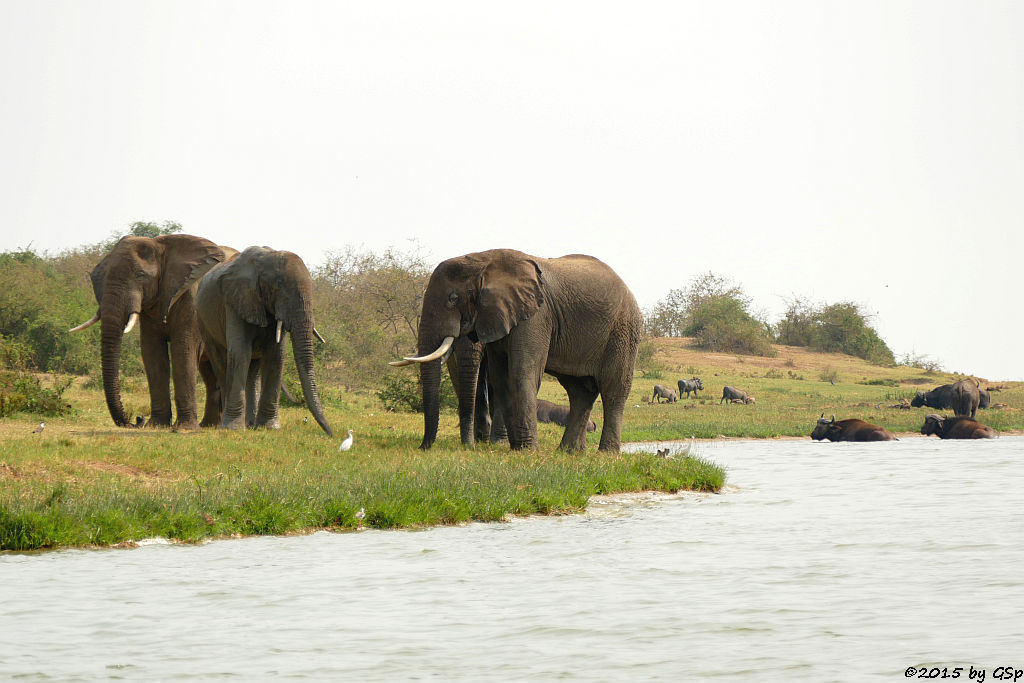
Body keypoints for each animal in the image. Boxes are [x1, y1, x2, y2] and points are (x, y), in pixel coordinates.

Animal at [72, 235, 235, 428]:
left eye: (140, 275)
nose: (137, 419)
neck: (161, 245)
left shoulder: (192, 299)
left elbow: (183, 351)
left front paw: (184, 428)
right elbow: (152, 354)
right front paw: (156, 425)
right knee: (209, 373)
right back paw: (209, 425)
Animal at [192, 248, 331, 436]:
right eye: (278, 286)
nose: (331, 433)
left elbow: (276, 356)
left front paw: (269, 427)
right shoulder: (236, 301)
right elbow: (240, 353)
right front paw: (234, 429)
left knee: (253, 371)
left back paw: (251, 424)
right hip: (204, 321)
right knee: (221, 363)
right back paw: (230, 424)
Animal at [391, 248, 638, 450]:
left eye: (453, 298)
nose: (423, 447)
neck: (485, 260)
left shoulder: (536, 316)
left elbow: (522, 372)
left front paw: (527, 451)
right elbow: (501, 378)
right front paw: (515, 448)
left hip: (623, 330)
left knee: (613, 389)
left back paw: (606, 453)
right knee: (580, 391)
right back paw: (566, 453)